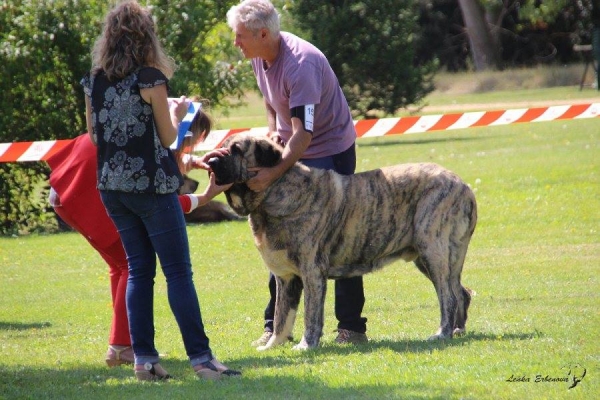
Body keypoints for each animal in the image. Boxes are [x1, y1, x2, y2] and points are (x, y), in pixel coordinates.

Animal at [209, 134, 476, 350]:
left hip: (433, 250)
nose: (210, 162)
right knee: (459, 291)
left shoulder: (312, 272)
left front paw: (306, 346)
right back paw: (457, 330)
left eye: (236, 149)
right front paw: (272, 346)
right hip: (432, 258)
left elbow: (310, 314)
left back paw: (442, 333)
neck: (272, 193)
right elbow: (281, 317)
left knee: (448, 297)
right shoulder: (286, 278)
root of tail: (464, 185)